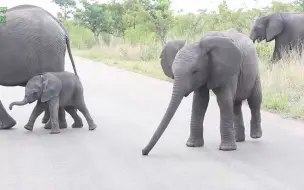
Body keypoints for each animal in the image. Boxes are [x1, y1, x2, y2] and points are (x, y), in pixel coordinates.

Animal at [141, 28, 262, 156]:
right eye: (173, 71)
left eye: (195, 71)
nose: (143, 152)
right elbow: (200, 102)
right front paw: (193, 145)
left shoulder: (228, 70)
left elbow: (224, 100)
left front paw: (227, 149)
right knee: (236, 105)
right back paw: (238, 139)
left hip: (255, 71)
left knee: (254, 100)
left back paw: (255, 136)